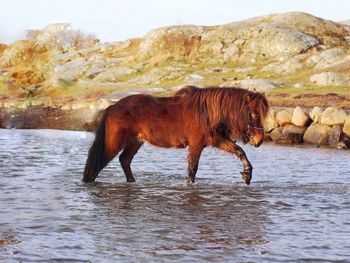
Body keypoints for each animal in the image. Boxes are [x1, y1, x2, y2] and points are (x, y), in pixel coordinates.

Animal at [83, 86, 270, 186]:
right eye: (255, 115)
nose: (259, 140)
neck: (207, 112)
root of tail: (112, 107)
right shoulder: (196, 144)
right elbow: (192, 169)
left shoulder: (216, 140)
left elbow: (239, 151)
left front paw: (247, 175)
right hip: (115, 142)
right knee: (98, 163)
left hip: (135, 141)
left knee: (124, 160)